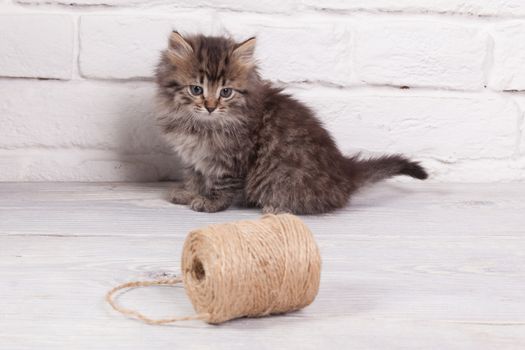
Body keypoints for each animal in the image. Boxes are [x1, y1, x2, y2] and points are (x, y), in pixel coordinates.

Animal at [155, 32, 426, 215]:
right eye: (196, 89)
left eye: (226, 92)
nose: (210, 106)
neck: (200, 124)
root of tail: (345, 172)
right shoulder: (193, 158)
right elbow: (195, 177)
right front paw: (189, 193)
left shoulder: (232, 159)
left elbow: (223, 185)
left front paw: (211, 202)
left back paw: (276, 208)